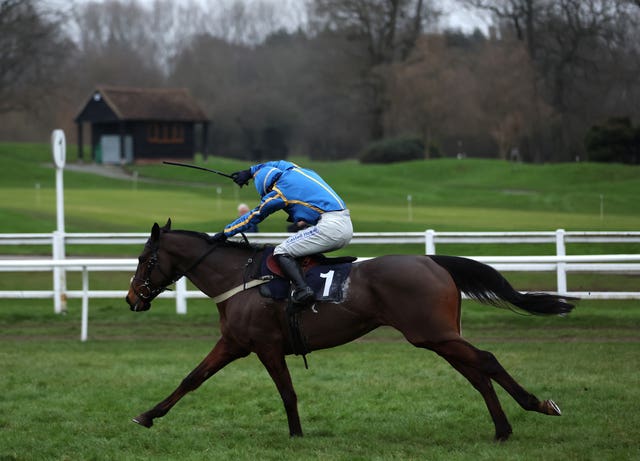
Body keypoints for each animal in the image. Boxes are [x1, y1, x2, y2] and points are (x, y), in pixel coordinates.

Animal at [125, 220, 576, 442]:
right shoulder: (235, 343)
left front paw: (296, 435)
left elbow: (286, 392)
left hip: (433, 333)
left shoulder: (266, 346)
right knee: (476, 373)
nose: (132, 298)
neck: (240, 278)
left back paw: (537, 406)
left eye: (145, 258)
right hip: (439, 337)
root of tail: (432, 261)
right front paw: (147, 415)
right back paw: (502, 429)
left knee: (486, 360)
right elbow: (192, 378)